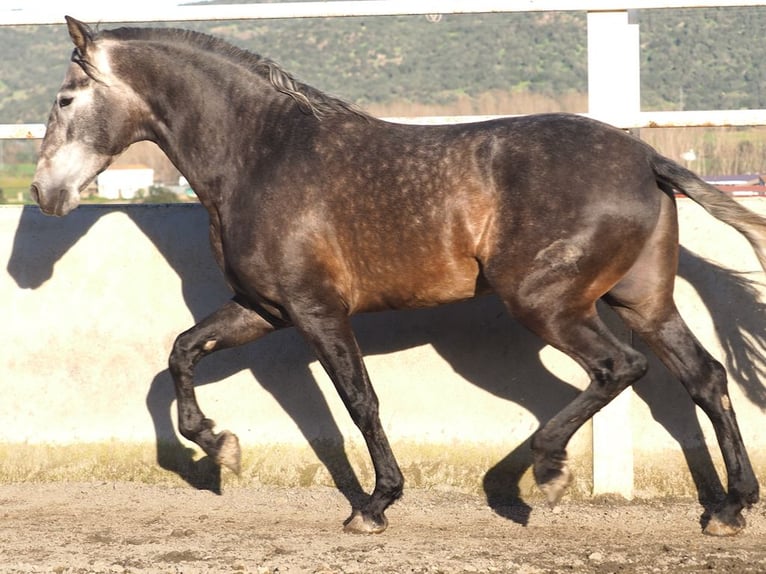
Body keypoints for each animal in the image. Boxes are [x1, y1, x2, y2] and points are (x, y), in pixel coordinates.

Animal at [31, 16, 766, 540]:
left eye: (65, 99)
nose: (42, 193)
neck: (262, 154)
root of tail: (645, 158)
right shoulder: (262, 307)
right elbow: (181, 353)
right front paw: (221, 448)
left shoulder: (317, 310)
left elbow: (360, 402)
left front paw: (374, 505)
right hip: (641, 300)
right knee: (705, 377)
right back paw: (730, 509)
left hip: (546, 303)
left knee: (620, 368)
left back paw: (547, 473)